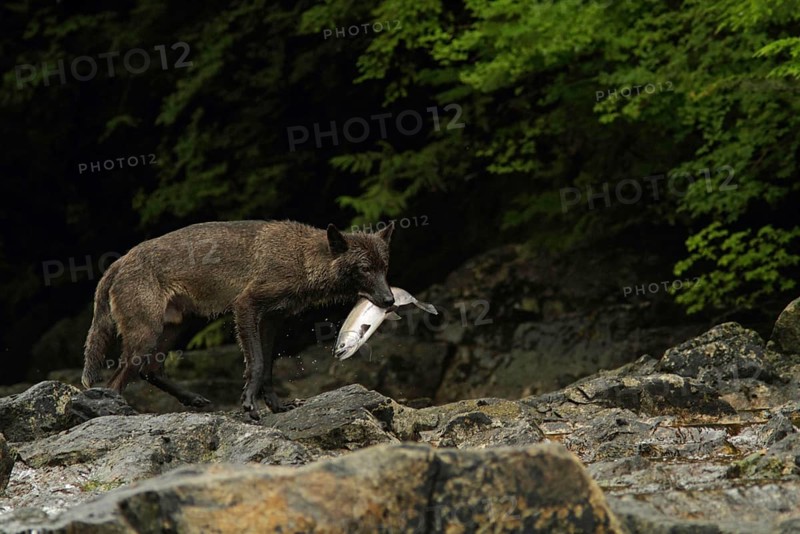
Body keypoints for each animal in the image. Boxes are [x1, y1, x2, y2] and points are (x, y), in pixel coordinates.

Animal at [81, 220, 394, 418]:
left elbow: (268, 368)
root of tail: (119, 261)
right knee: (115, 383)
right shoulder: (245, 307)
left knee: (150, 370)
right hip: (147, 335)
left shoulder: (272, 320)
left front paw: (276, 406)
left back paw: (193, 399)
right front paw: (248, 405)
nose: (390, 301)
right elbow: (256, 365)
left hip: (177, 327)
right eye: (364, 269)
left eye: (384, 268)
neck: (301, 258)